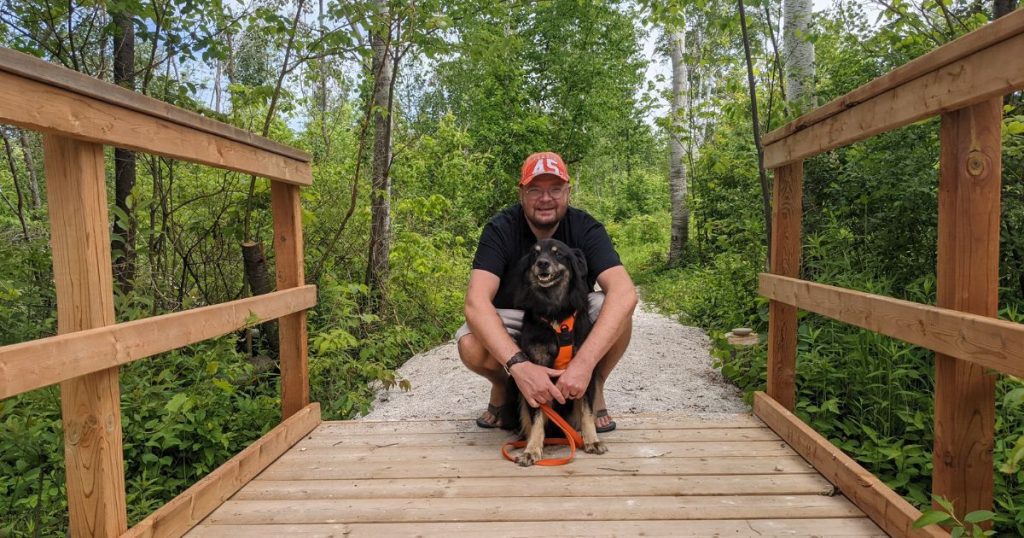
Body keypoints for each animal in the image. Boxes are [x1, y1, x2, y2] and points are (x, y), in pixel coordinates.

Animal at [501, 236, 606, 463]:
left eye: (558, 254)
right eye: (535, 253)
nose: (542, 263)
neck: (555, 313)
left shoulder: (583, 372)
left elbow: (587, 411)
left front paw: (592, 440)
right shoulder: (535, 377)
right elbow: (537, 417)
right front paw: (531, 449)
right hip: (515, 386)